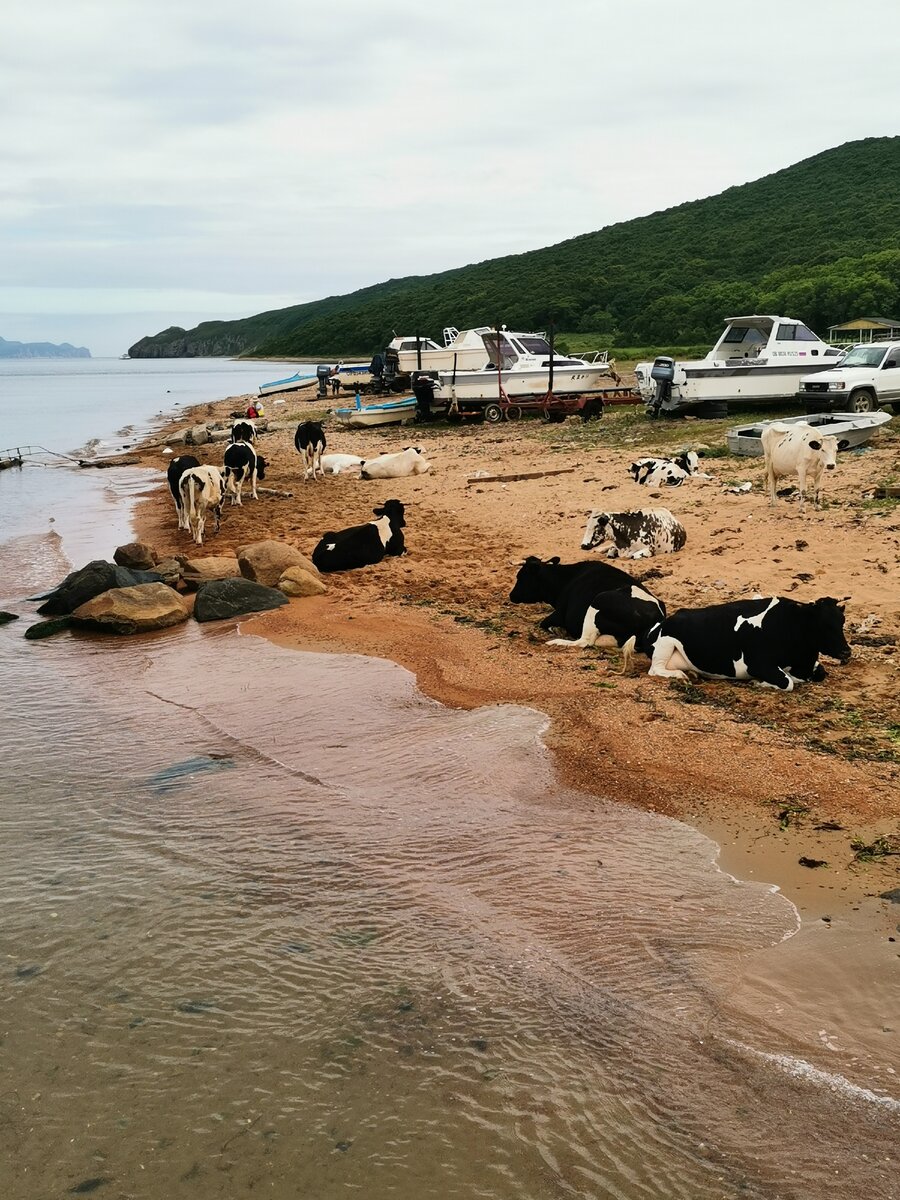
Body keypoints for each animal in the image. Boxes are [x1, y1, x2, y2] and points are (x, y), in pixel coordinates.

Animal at [648, 592, 854, 691]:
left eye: (842, 621)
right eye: (823, 625)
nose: (846, 651)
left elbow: (819, 672)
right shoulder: (757, 663)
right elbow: (787, 682)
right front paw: (759, 683)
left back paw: (691, 673)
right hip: (665, 643)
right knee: (655, 669)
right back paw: (680, 675)